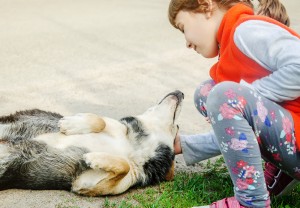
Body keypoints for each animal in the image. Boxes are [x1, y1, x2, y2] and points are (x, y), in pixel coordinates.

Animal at [0, 90, 183, 196]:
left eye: (177, 126)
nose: (181, 92)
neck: (135, 145)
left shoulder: (85, 184)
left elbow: (124, 165)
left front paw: (94, 158)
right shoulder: (115, 125)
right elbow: (99, 120)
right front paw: (72, 124)